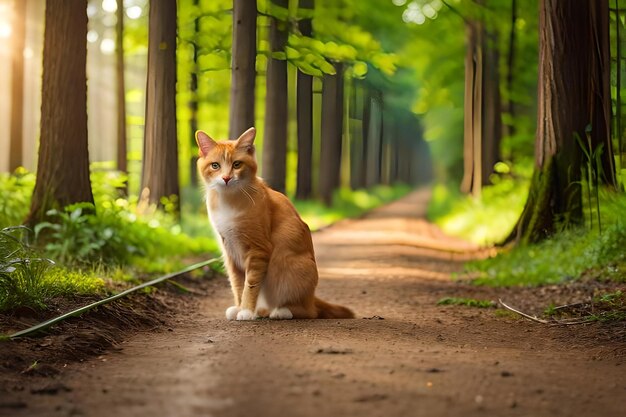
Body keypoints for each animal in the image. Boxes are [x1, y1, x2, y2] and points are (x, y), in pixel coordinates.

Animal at [193, 125, 354, 320]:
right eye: (215, 165)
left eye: (237, 164)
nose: (226, 178)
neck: (228, 200)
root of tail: (312, 298)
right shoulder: (230, 251)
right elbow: (237, 283)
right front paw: (239, 307)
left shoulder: (258, 250)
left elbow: (250, 285)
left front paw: (246, 311)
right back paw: (262, 311)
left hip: (289, 266)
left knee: (309, 311)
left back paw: (281, 311)